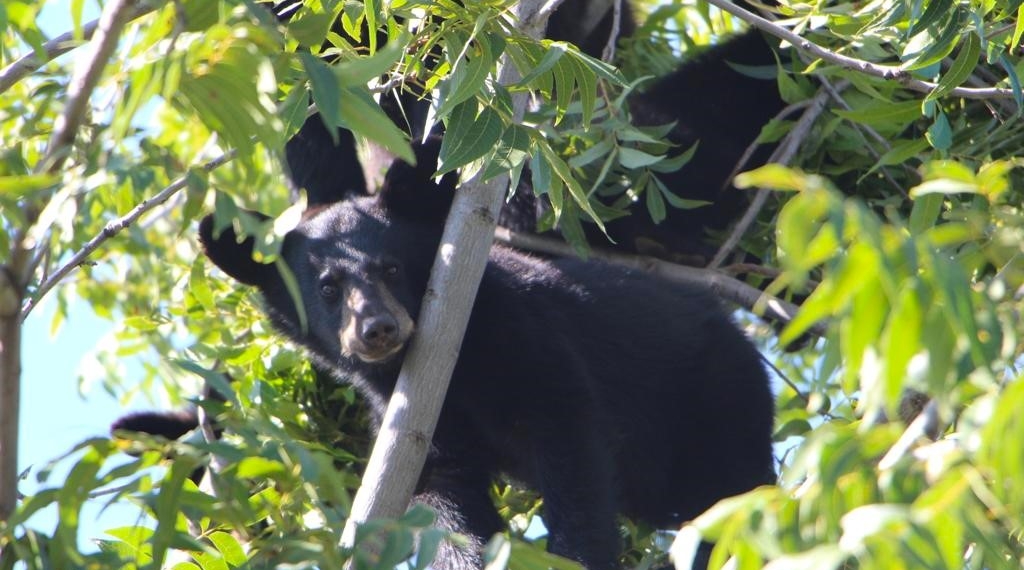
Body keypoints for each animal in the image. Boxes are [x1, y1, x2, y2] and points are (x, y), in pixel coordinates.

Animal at [198, 138, 776, 570]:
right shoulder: (414, 413)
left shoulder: (528, 342)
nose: (377, 329)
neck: (459, 362)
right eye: (328, 288)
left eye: (390, 268)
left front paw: (577, 557)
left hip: (718, 401)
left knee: (733, 494)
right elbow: (447, 496)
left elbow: (572, 456)